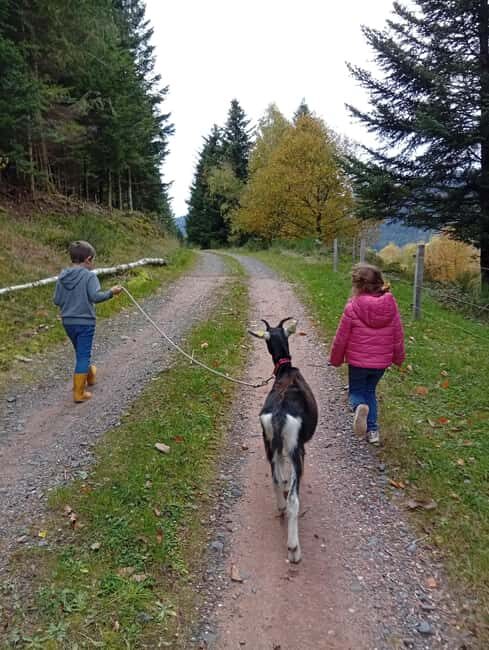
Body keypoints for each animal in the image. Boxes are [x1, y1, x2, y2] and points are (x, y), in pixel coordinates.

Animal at [249, 317, 318, 563]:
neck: (286, 370)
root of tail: (279, 414)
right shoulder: (299, 446)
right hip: (295, 449)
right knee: (294, 500)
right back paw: (294, 549)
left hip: (268, 442)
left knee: (275, 479)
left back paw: (279, 506)